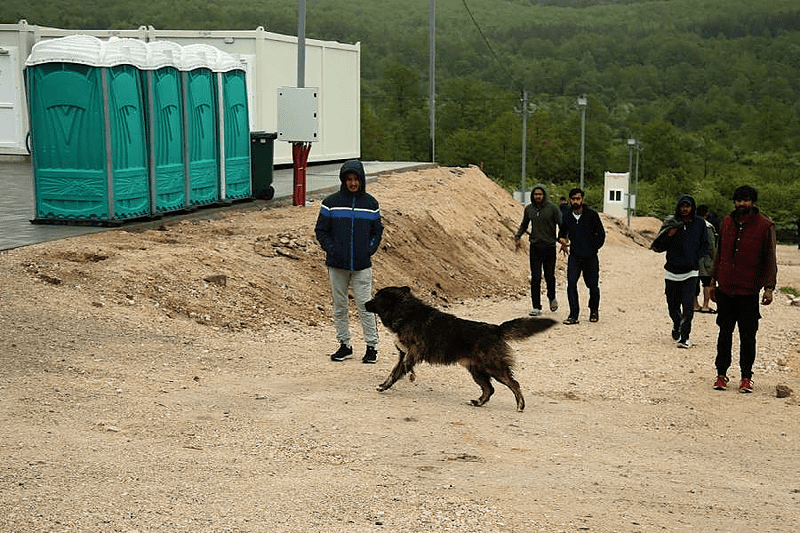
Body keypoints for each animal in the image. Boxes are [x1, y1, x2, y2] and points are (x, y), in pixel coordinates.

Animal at [364, 284, 556, 410]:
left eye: (377, 297)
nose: (364, 303)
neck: (406, 313)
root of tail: (495, 329)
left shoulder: (414, 351)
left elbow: (404, 367)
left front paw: (408, 376)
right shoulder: (403, 355)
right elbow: (393, 374)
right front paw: (384, 386)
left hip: (494, 368)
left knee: (513, 383)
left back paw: (520, 405)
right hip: (477, 371)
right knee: (489, 389)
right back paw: (478, 402)